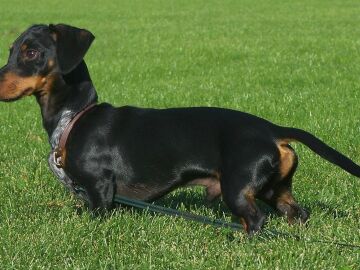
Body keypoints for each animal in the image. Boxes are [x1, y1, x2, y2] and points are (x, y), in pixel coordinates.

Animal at [0, 24, 360, 233]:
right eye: (11, 51)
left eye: (31, 52)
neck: (74, 117)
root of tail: (272, 129)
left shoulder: (100, 190)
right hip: (275, 189)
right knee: (296, 214)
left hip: (237, 187)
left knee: (256, 221)